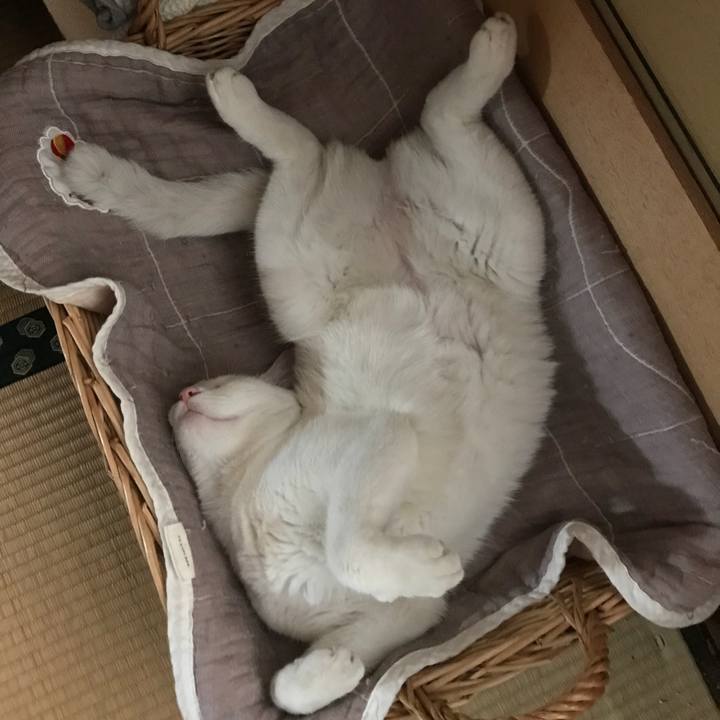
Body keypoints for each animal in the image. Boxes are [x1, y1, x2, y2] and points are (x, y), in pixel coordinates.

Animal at [58, 14, 554, 714]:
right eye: (190, 391)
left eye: (214, 381)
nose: (183, 396)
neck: (244, 512)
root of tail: (383, 195)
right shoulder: (411, 616)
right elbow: (296, 684)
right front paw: (333, 672)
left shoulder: (379, 439)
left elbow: (349, 549)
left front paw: (418, 568)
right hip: (433, 230)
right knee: (419, 123)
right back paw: (487, 49)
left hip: (335, 253)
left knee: (317, 148)